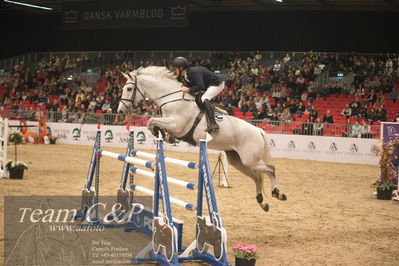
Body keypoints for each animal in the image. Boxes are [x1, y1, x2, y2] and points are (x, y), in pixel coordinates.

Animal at [116, 66, 288, 212]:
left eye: (129, 89)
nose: (120, 111)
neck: (172, 99)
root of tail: (258, 130)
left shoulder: (177, 125)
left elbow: (151, 121)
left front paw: (160, 133)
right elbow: (153, 123)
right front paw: (164, 136)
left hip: (250, 159)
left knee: (270, 169)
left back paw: (277, 193)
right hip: (238, 161)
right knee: (257, 177)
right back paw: (262, 202)